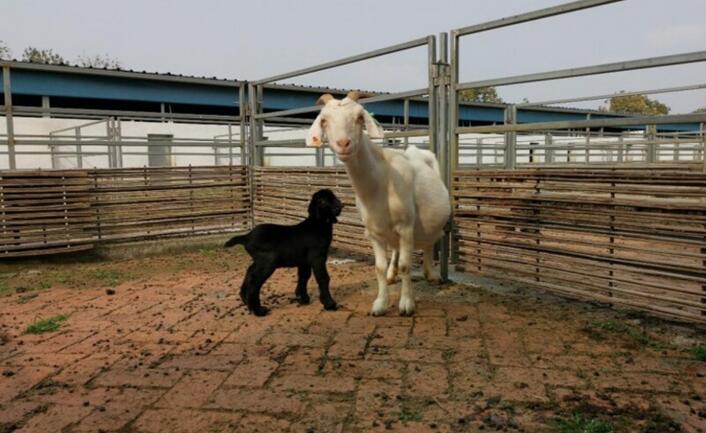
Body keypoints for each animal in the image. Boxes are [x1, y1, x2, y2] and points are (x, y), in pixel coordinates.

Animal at [304, 91, 448, 314]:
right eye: (324, 120)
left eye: (359, 118)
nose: (343, 143)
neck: (381, 181)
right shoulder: (373, 232)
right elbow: (379, 267)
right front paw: (380, 304)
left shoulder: (406, 226)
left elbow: (406, 265)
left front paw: (407, 304)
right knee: (397, 249)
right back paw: (391, 275)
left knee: (430, 241)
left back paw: (431, 274)